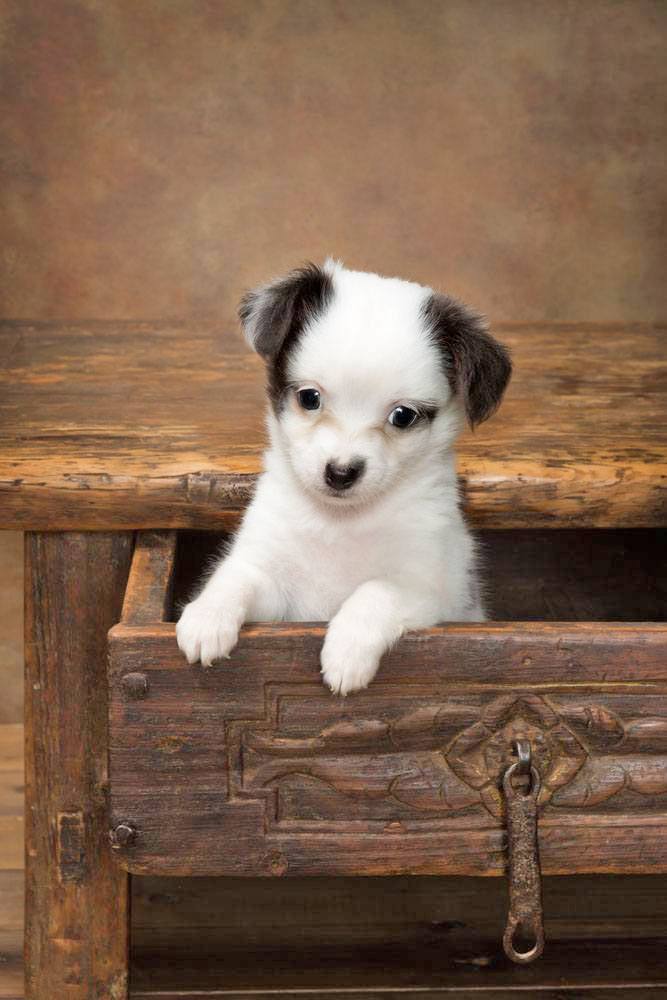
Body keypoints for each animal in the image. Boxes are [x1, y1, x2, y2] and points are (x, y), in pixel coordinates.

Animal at [176, 260, 512, 696]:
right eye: (309, 398)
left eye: (403, 416)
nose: (340, 472)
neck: (340, 523)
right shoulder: (276, 587)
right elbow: (238, 576)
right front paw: (207, 615)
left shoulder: (428, 589)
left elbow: (375, 591)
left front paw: (347, 651)